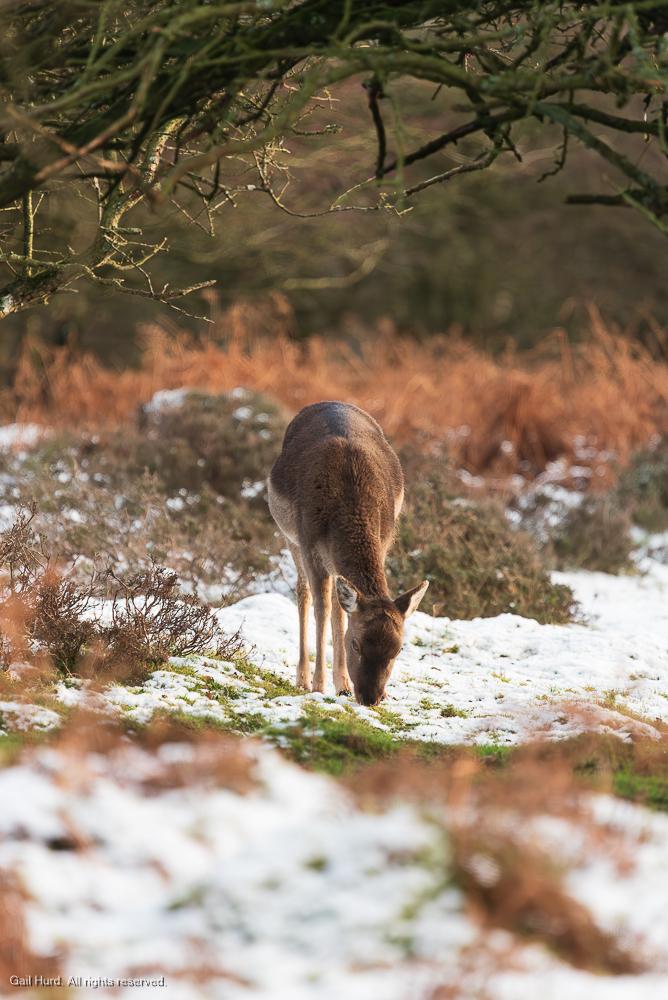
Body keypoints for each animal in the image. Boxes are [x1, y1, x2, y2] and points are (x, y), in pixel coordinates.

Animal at [268, 401, 428, 706]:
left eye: (398, 650)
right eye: (355, 643)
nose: (370, 697)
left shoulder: (385, 540)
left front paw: (349, 685)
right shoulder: (309, 545)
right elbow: (321, 609)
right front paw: (318, 685)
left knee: (337, 603)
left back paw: (340, 682)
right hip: (288, 536)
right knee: (304, 594)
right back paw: (303, 678)